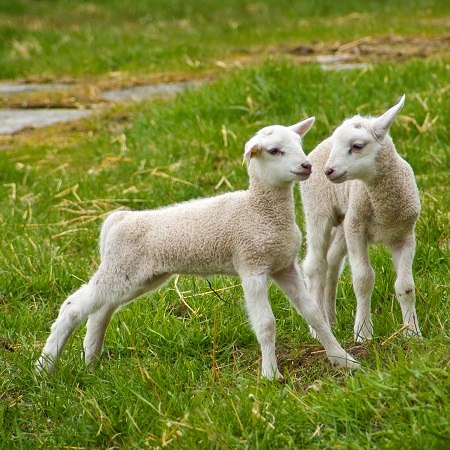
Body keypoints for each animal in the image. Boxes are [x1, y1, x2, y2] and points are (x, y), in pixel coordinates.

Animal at [37, 118, 358, 378]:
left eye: (300, 145)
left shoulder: (283, 266)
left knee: (101, 309)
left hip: (137, 276)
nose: (307, 166)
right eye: (274, 150)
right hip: (121, 269)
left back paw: (90, 360)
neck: (259, 210)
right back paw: (44, 367)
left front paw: (343, 360)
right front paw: (270, 375)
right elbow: (266, 324)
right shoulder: (251, 266)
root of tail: (118, 220)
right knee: (73, 306)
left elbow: (314, 313)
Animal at [302, 96, 422, 342]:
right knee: (315, 266)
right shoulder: (357, 231)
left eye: (357, 146)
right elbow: (363, 280)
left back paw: (331, 319)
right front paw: (363, 333)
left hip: (345, 222)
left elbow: (406, 286)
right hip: (319, 212)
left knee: (332, 263)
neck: (384, 208)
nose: (329, 171)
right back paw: (317, 329)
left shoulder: (405, 236)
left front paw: (412, 333)